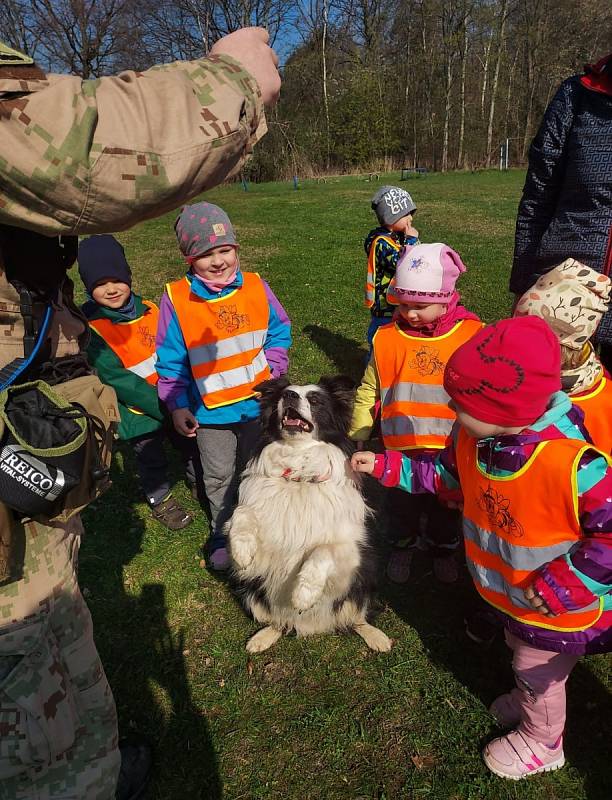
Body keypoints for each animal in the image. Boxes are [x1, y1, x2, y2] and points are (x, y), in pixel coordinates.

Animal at [226, 378, 392, 652]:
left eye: (315, 400)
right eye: (283, 394)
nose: (290, 396)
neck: (299, 475)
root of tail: (313, 626)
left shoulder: (354, 551)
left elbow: (322, 551)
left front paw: (303, 595)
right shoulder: (264, 548)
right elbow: (242, 513)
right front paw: (241, 552)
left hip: (363, 587)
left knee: (356, 618)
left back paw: (377, 637)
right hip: (252, 594)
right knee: (278, 622)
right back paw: (261, 639)